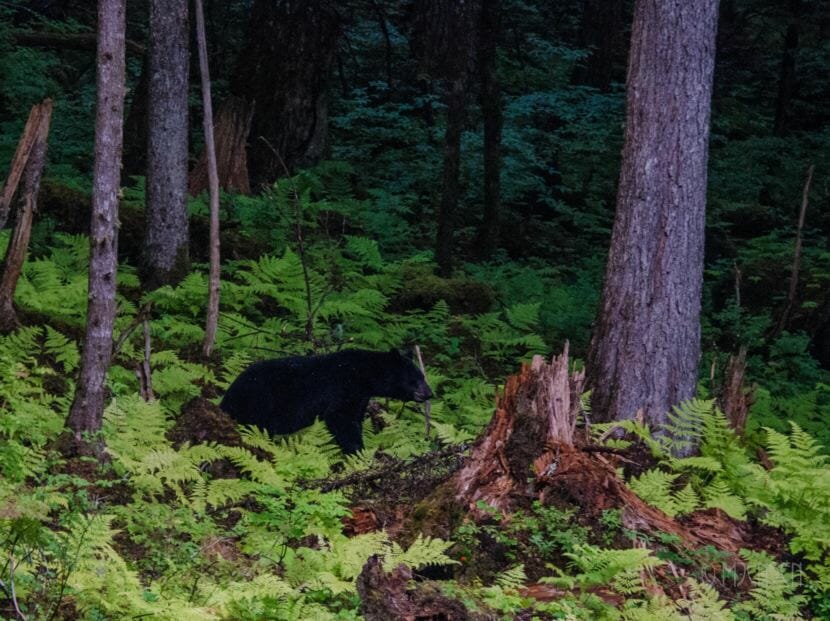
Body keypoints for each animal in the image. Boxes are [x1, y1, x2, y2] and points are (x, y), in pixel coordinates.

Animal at [220, 349, 433, 454]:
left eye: (422, 375)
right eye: (415, 378)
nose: (430, 393)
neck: (364, 375)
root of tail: (228, 395)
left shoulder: (359, 397)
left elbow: (354, 418)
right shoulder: (342, 388)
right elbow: (340, 418)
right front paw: (357, 451)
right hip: (259, 404)